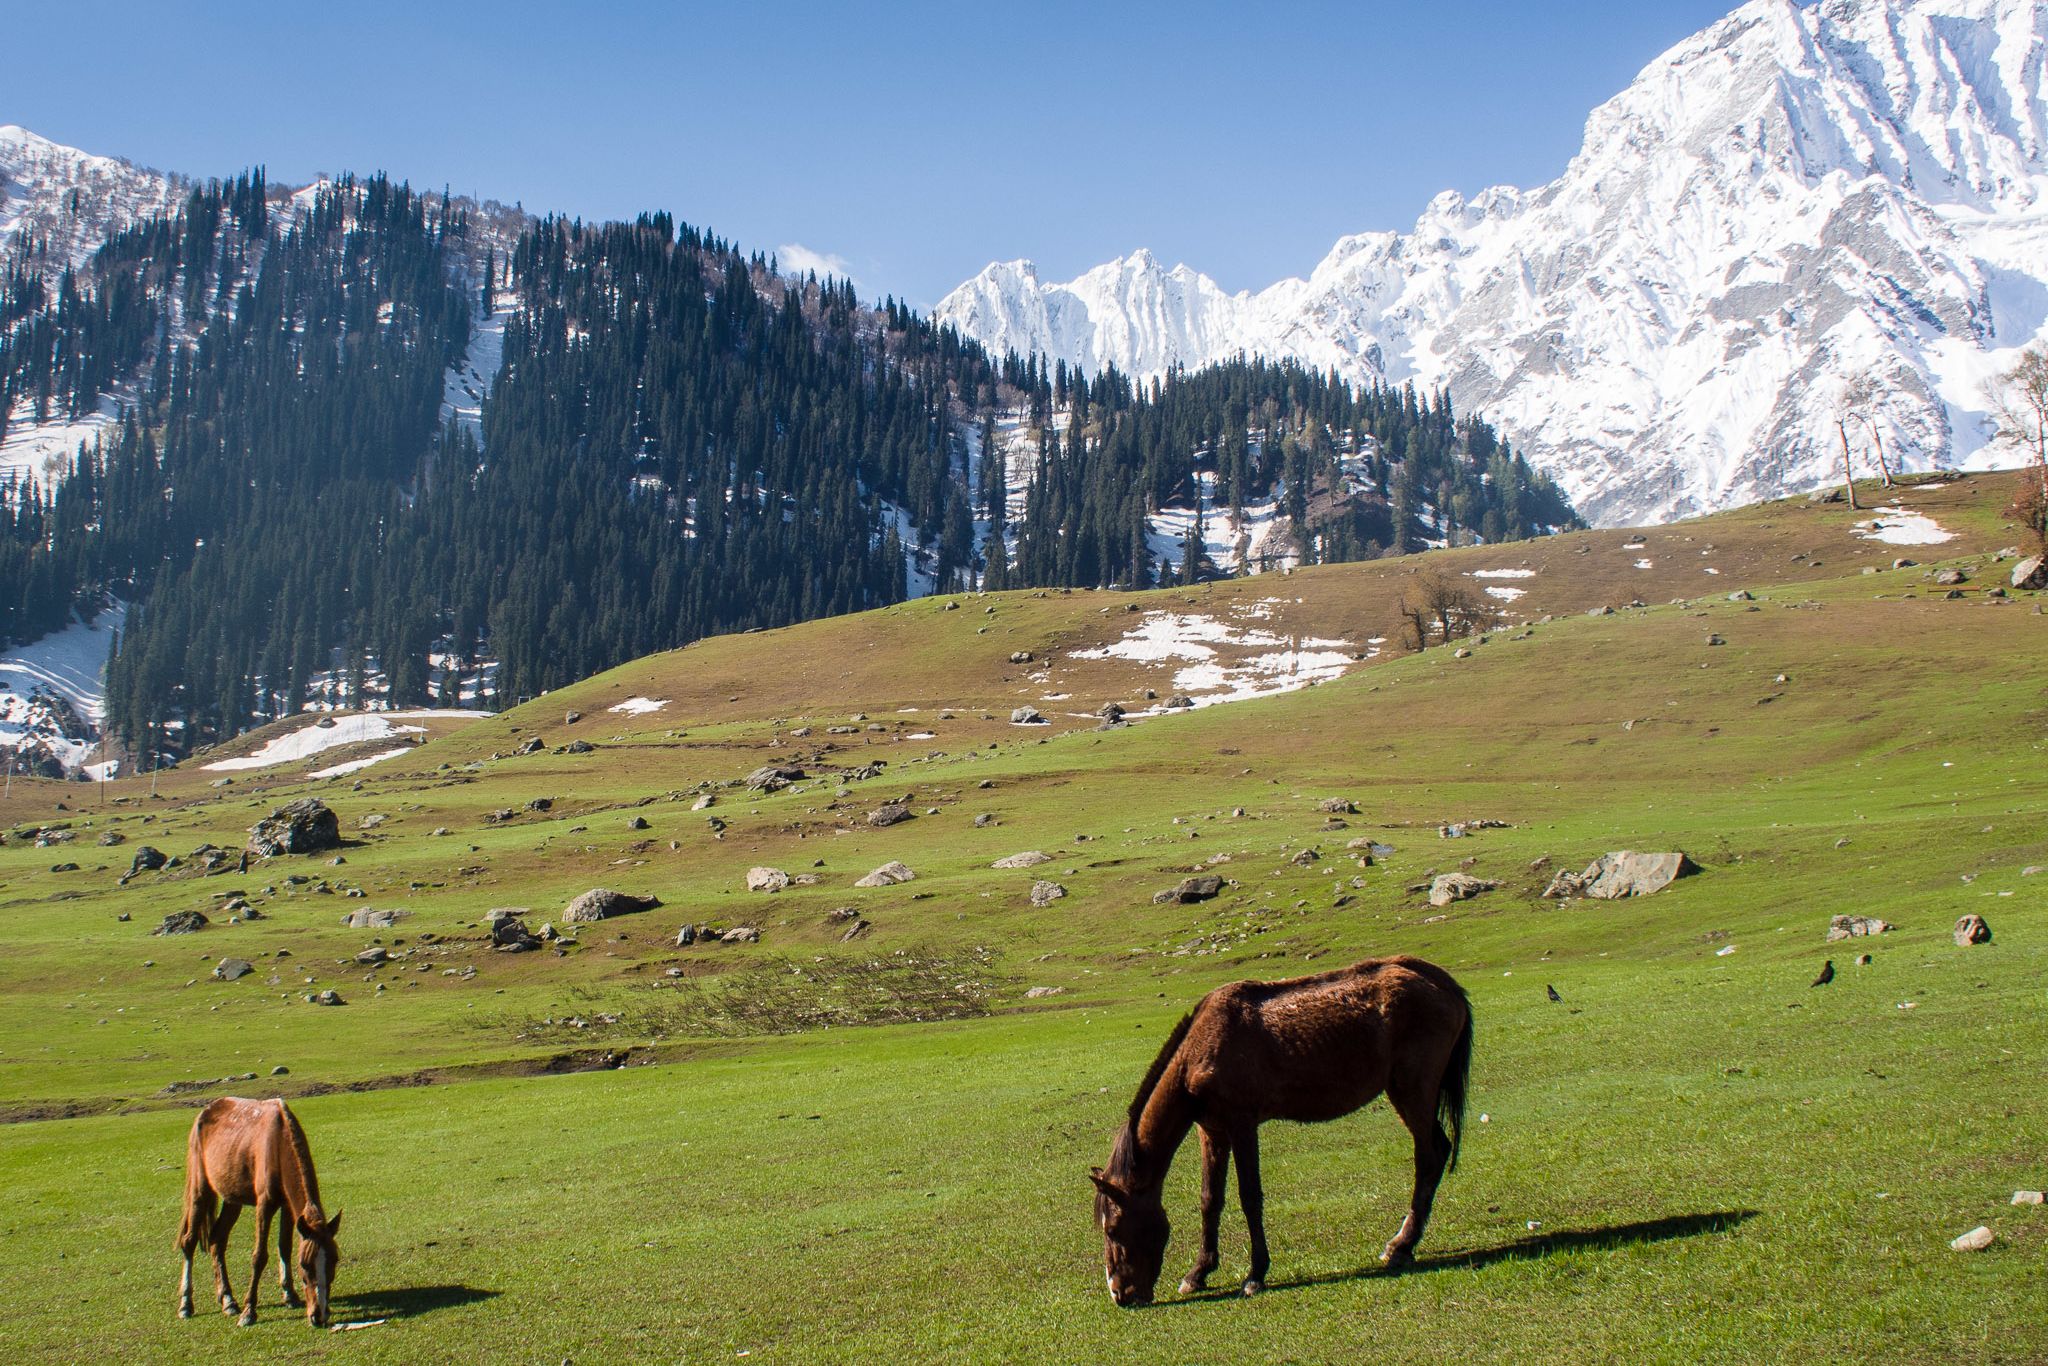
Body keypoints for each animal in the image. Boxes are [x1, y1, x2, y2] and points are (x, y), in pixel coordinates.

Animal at [176, 1096, 343, 1327]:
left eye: (334, 1260)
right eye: (304, 1264)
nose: (319, 1315)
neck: (279, 1144)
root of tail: (206, 1110)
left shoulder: (287, 1207)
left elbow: (284, 1247)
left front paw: (289, 1295)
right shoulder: (265, 1204)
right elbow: (259, 1256)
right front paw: (249, 1312)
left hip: (232, 1200)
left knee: (217, 1240)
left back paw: (227, 1299)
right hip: (200, 1191)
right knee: (189, 1242)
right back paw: (186, 1304)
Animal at [1090, 955, 1472, 1306]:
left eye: (1113, 1228)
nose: (1120, 1294)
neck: (1199, 1051)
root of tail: (1440, 981)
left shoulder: (1242, 1124)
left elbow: (1249, 1197)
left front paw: (1255, 1274)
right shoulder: (1212, 1132)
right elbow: (1210, 1199)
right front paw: (1198, 1273)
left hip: (1411, 1091)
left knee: (1429, 1156)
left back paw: (1400, 1246)